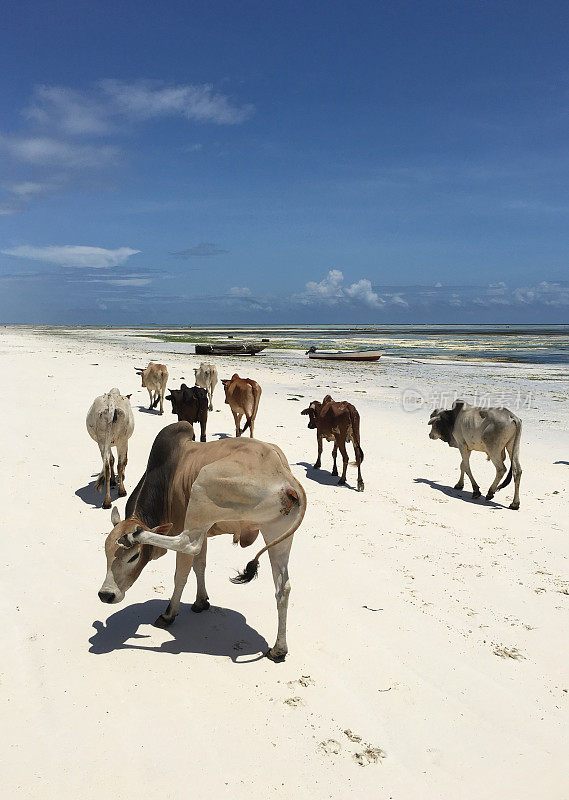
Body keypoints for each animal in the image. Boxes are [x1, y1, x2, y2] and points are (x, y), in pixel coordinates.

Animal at [97, 422, 306, 660]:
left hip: (201, 487)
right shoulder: (204, 531)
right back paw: (278, 649)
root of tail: (285, 475)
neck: (168, 477)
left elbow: (181, 574)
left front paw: (170, 614)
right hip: (276, 535)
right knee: (283, 587)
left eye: (134, 556)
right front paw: (201, 601)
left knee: (187, 543)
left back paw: (137, 535)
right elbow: (200, 566)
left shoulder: (190, 525)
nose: (106, 595)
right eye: (105, 552)